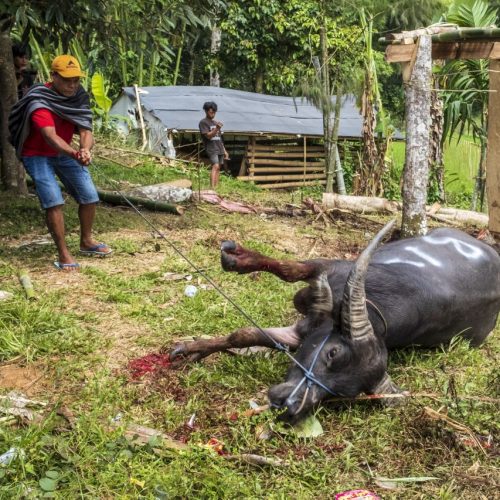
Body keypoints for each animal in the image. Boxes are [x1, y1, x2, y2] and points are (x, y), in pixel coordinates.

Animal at [169, 223, 500, 422]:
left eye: (339, 394)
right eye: (332, 353)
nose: (289, 405)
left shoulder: (301, 333)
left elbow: (246, 334)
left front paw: (192, 350)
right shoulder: (327, 268)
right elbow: (290, 269)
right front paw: (237, 258)